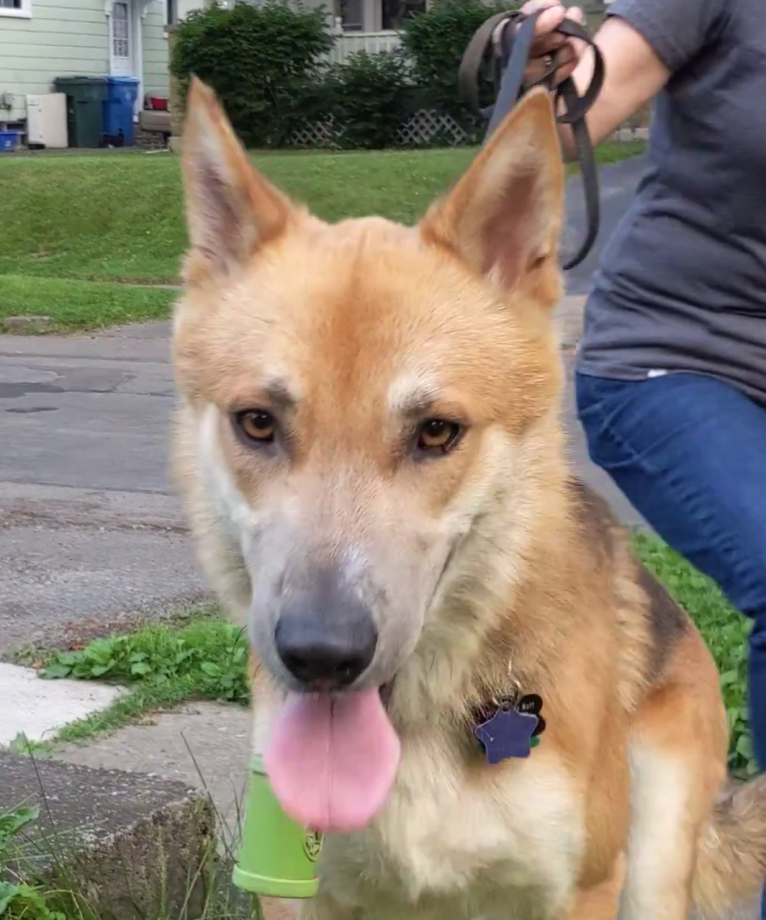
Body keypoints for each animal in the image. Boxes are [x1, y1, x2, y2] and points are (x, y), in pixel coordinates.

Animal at [171, 81, 764, 920]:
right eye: (257, 422)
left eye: (436, 432)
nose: (321, 656)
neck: (416, 730)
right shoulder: (293, 894)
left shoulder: (581, 889)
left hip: (652, 858)